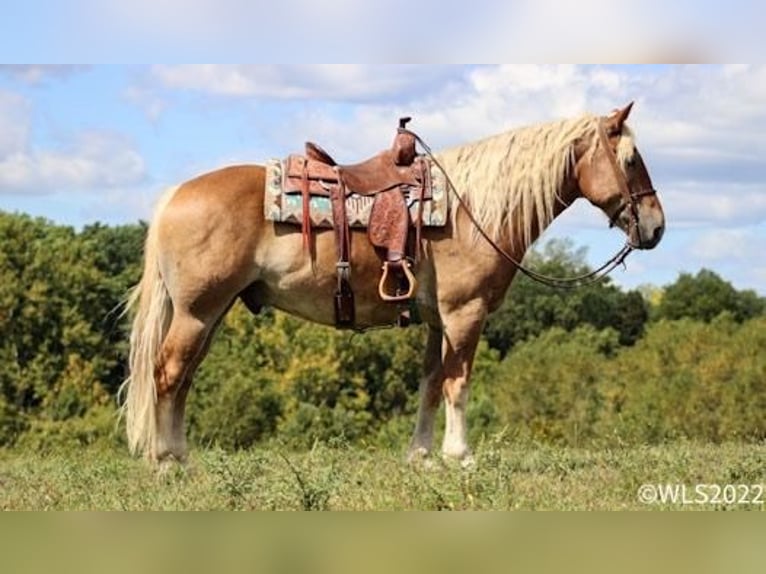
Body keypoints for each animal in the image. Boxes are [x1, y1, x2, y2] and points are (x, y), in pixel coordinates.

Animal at [121, 102, 664, 468]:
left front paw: (421, 456)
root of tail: (175, 194)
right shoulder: (465, 313)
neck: (473, 209)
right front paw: (459, 455)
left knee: (183, 377)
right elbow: (458, 383)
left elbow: (430, 384)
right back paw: (166, 462)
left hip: (210, 313)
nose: (656, 227)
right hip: (197, 312)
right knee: (168, 374)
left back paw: (181, 458)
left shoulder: (437, 320)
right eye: (631, 159)